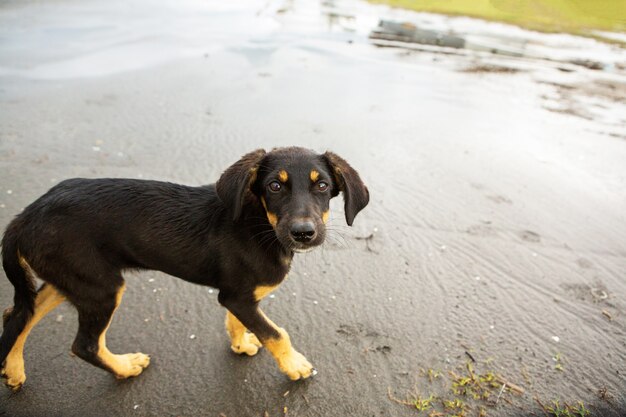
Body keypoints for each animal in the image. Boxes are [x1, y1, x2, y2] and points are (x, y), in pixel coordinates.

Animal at [0, 146, 368, 386]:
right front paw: (294, 365)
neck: (260, 223)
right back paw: (125, 368)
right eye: (274, 186)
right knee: (84, 345)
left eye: (322, 185)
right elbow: (276, 333)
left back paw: (13, 368)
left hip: (69, 280)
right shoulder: (238, 296)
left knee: (18, 315)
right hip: (99, 286)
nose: (303, 233)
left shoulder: (236, 296)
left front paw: (240, 344)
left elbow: (237, 321)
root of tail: (25, 216)